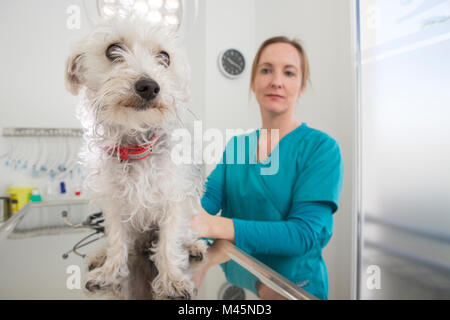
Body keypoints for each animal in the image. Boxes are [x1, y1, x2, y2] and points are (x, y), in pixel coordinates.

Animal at [65, 18, 207, 300]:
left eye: (164, 57)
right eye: (113, 50)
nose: (149, 86)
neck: (135, 146)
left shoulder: (174, 199)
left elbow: (168, 242)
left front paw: (172, 279)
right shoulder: (114, 205)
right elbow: (117, 242)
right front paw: (109, 272)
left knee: (184, 236)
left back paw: (194, 245)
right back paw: (99, 255)